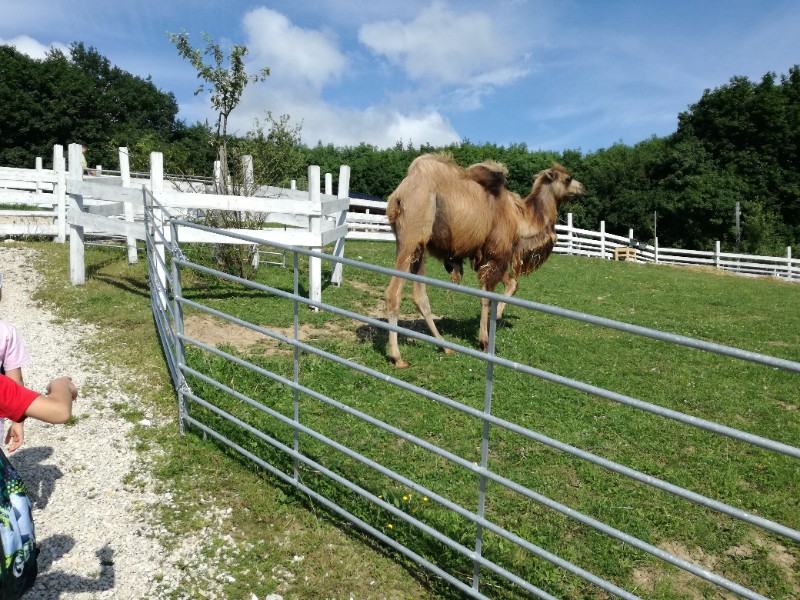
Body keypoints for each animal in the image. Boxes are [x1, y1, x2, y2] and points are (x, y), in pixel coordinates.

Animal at [385, 153, 584, 368]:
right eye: (568, 178)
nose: (583, 188)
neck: (519, 218)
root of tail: (399, 196)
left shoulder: (485, 257)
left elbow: (510, 284)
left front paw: (496, 318)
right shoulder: (498, 252)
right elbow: (488, 296)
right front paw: (485, 341)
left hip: (418, 246)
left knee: (420, 297)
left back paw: (445, 347)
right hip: (412, 236)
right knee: (394, 293)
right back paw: (397, 357)